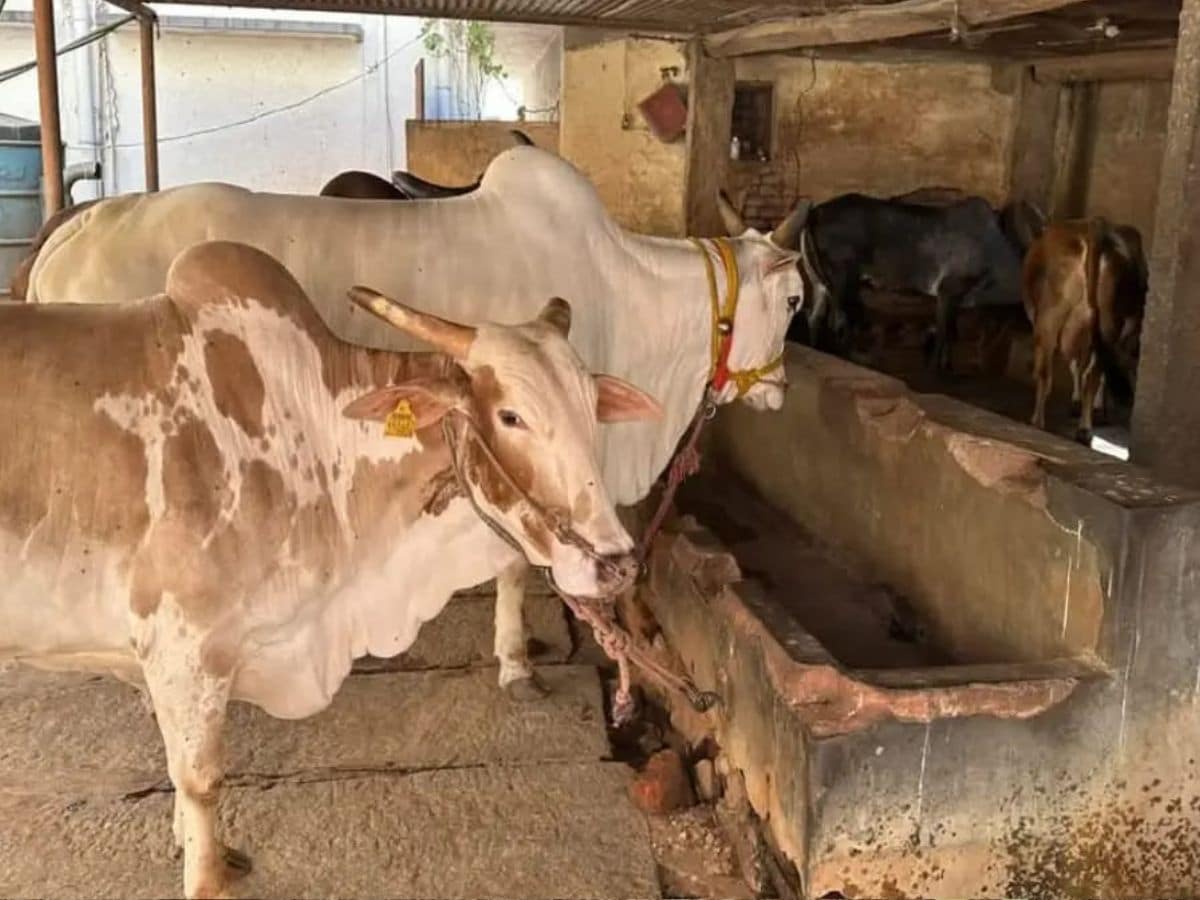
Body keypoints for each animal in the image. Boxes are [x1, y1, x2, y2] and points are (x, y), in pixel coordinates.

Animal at [0, 240, 661, 898]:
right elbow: (201, 780)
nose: (615, 562)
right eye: (510, 416)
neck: (310, 430)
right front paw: (208, 870)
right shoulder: (185, 646)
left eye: (592, 407)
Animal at [24, 145, 811, 699]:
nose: (780, 389)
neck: (628, 291)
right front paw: (516, 661)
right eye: (798, 299)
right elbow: (515, 566)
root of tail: (81, 225)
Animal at [1022, 218, 1147, 440]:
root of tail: (1095, 228)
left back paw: (1037, 421)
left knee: (1046, 374)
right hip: (1108, 325)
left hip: (1049, 319)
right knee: (1094, 375)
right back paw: (1085, 428)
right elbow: (1082, 368)